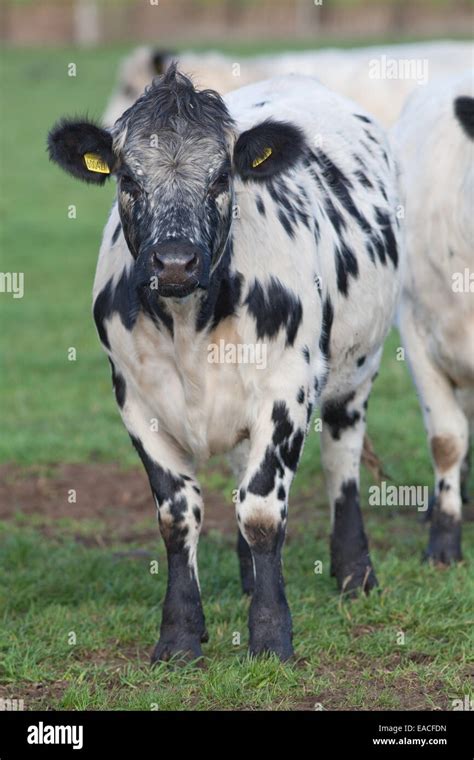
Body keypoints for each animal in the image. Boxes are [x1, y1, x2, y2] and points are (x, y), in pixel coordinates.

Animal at [48, 67, 402, 660]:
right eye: (129, 180)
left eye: (220, 179)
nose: (174, 262)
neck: (190, 322)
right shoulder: (135, 399)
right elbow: (178, 517)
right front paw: (180, 636)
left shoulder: (288, 390)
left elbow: (261, 511)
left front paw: (271, 636)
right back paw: (249, 579)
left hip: (359, 368)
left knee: (342, 461)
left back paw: (356, 575)